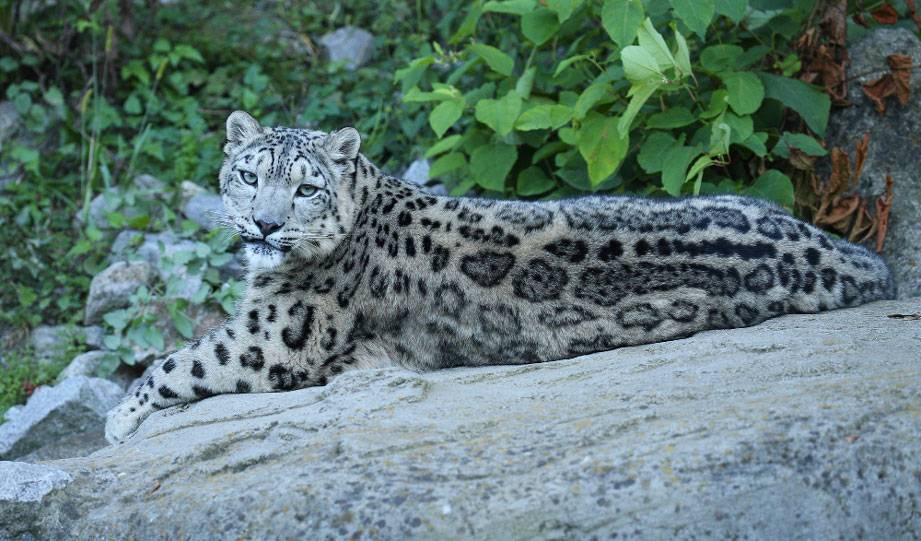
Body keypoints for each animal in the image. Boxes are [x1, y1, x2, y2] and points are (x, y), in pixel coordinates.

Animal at [104, 110, 896, 442]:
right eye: (248, 175)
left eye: (305, 189)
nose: (266, 226)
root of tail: (850, 253)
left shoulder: (273, 336)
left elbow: (181, 360)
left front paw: (118, 416)